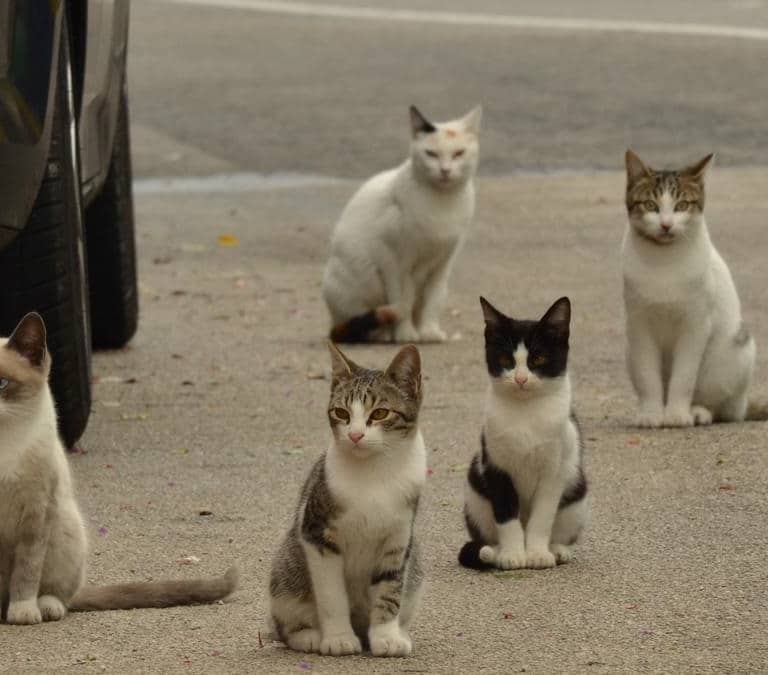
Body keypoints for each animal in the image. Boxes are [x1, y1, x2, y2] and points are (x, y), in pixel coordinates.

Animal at [0, 314, 237, 624]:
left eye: (2, 383)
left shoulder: (36, 513)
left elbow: (27, 572)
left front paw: (23, 611)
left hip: (64, 527)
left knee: (61, 594)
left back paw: (45, 607)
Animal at [268, 344, 426, 656]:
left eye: (380, 413)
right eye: (341, 412)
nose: (354, 435)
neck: (376, 473)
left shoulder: (398, 539)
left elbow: (390, 590)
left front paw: (386, 636)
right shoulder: (317, 534)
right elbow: (332, 596)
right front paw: (338, 637)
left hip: (415, 570)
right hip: (286, 572)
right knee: (285, 625)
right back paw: (309, 636)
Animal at [320, 106, 476, 348]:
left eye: (459, 153)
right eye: (431, 153)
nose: (445, 170)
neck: (442, 202)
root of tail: (332, 323)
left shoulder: (443, 262)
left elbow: (432, 299)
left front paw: (429, 331)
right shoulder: (394, 261)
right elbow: (402, 300)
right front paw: (405, 333)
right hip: (352, 281)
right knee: (360, 324)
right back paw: (382, 333)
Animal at [456, 298, 588, 568]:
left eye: (538, 359)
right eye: (505, 359)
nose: (520, 379)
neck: (525, 412)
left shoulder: (554, 471)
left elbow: (542, 518)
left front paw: (537, 554)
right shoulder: (496, 465)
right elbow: (507, 516)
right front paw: (512, 554)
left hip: (577, 492)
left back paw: (556, 549)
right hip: (475, 492)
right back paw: (493, 552)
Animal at [620, 152, 760, 428]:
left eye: (682, 205)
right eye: (650, 205)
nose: (666, 225)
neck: (663, 260)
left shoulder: (695, 324)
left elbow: (684, 376)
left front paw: (676, 414)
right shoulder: (639, 324)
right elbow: (647, 375)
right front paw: (651, 413)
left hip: (733, 354)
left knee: (724, 408)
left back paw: (698, 411)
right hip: (629, 352)